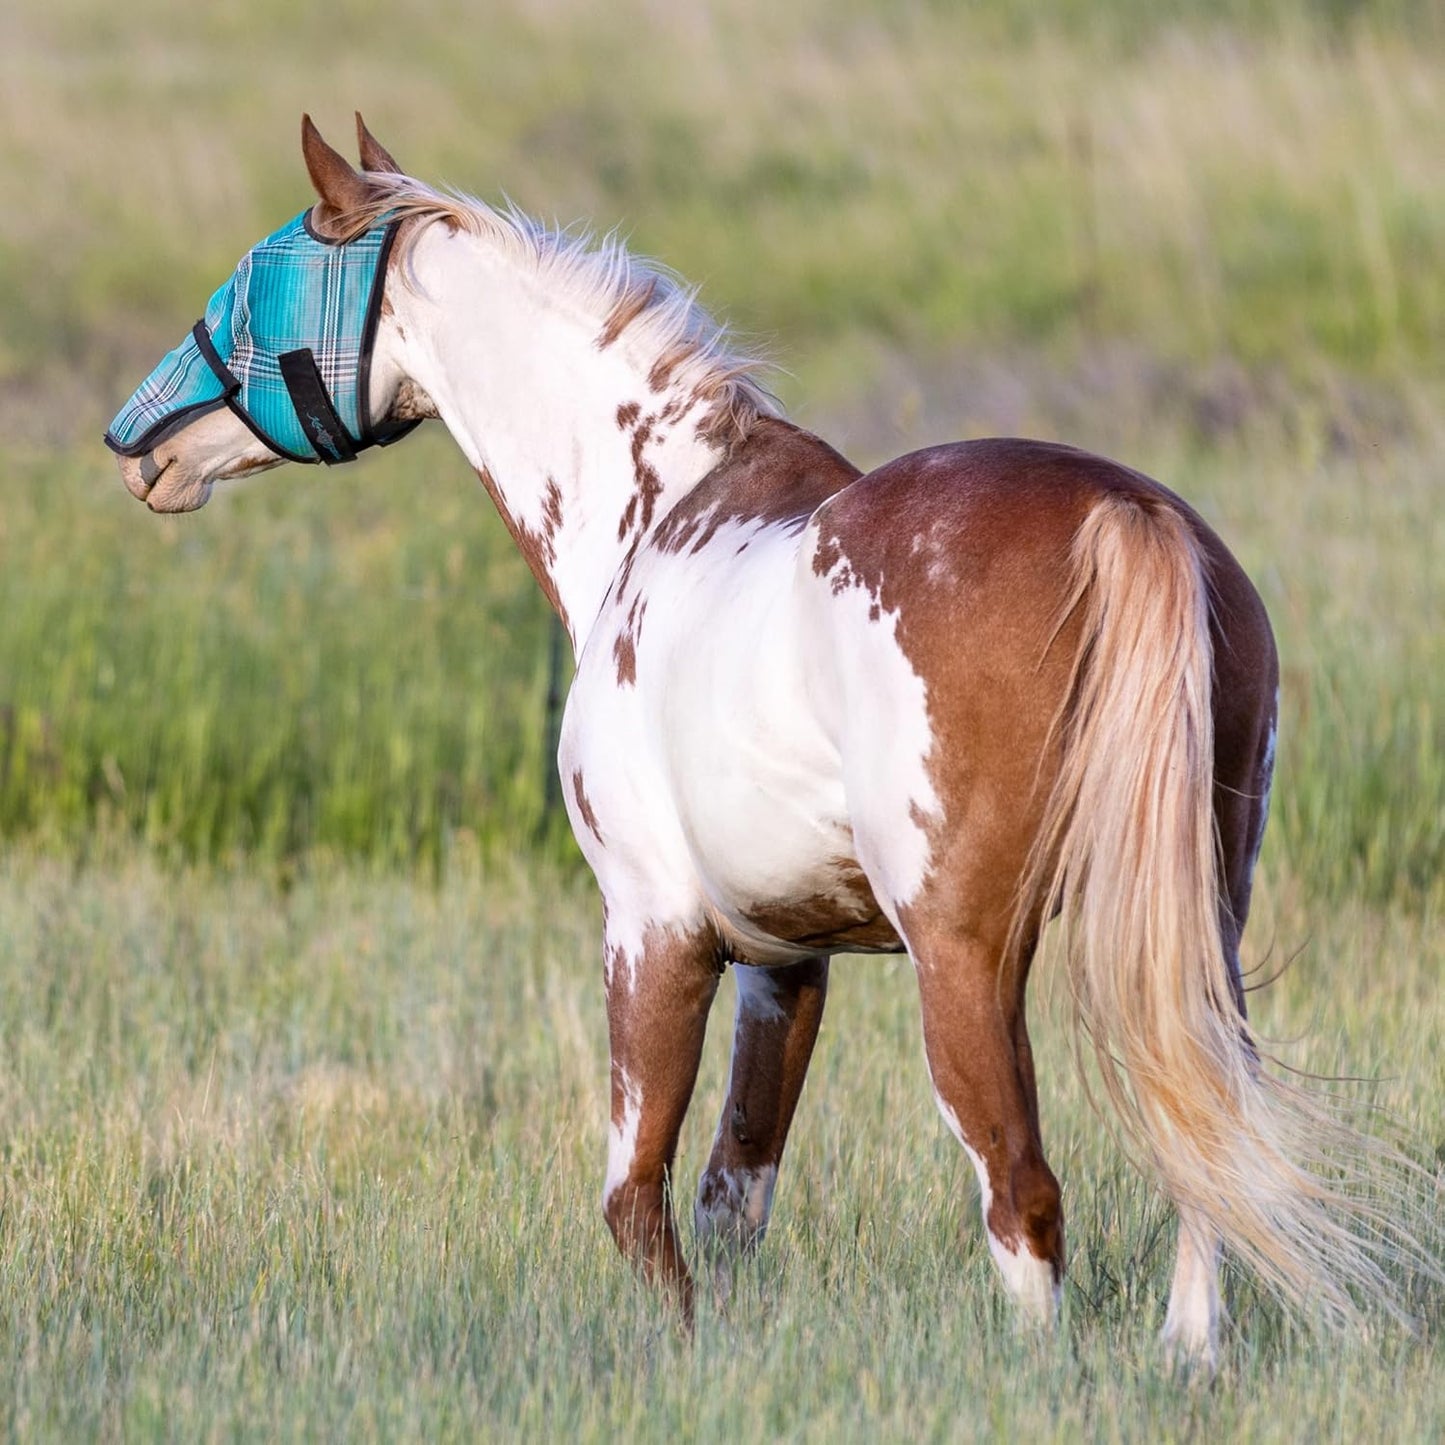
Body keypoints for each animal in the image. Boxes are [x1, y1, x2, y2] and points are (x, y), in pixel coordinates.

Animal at [107, 114, 1413, 1366]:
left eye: (255, 276)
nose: (138, 448)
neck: (653, 510)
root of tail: (1123, 511)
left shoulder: (653, 929)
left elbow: (635, 1199)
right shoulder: (784, 961)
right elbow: (735, 1190)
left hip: (964, 960)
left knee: (1021, 1193)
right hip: (1191, 935)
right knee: (1204, 1153)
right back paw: (1188, 1356)